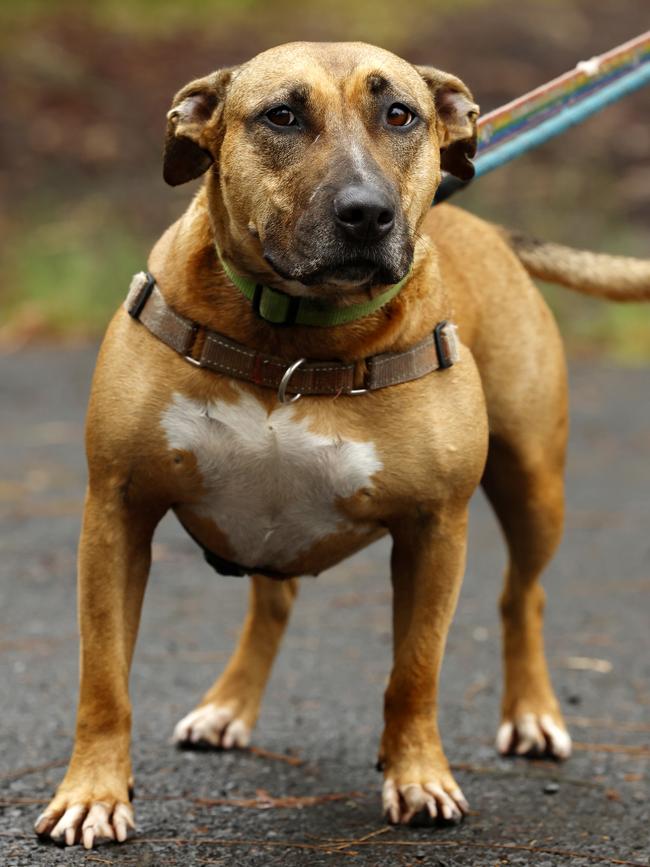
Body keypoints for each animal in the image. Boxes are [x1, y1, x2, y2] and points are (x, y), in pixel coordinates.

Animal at [34, 40, 648, 848]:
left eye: (401, 115)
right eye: (282, 116)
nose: (367, 213)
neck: (293, 334)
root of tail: (487, 231)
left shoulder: (434, 530)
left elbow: (415, 671)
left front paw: (418, 777)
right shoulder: (117, 510)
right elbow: (103, 676)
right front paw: (93, 793)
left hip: (534, 486)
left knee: (525, 594)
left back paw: (532, 715)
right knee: (275, 601)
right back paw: (228, 706)